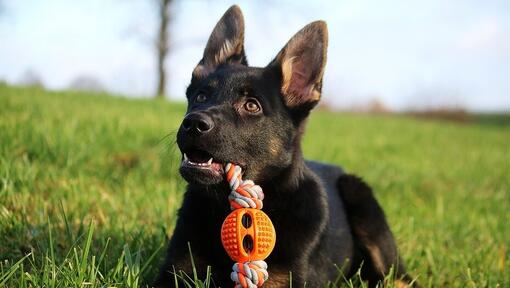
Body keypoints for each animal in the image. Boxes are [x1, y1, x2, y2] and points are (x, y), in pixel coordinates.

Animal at [154, 5, 414, 288]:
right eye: (200, 96)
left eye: (252, 105)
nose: (192, 124)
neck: (224, 207)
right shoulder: (175, 272)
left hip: (362, 201)